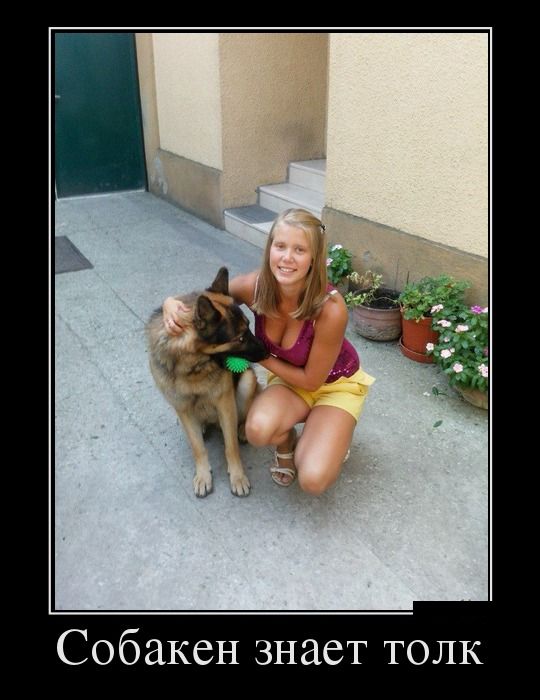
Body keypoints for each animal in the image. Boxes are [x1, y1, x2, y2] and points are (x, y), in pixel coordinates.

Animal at [146, 267, 268, 497]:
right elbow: (198, 448)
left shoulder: (225, 404)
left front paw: (238, 477)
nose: (268, 352)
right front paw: (203, 476)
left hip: (247, 381)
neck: (193, 367)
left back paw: (241, 430)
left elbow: (231, 446)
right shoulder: (183, 408)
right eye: (240, 338)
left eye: (249, 326)